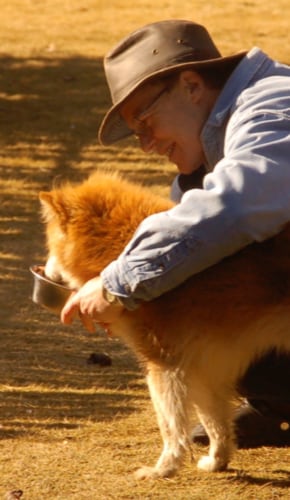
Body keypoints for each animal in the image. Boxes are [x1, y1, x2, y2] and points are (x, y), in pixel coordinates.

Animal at [38, 173, 290, 480]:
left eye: (50, 246)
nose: (44, 271)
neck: (120, 247)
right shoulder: (205, 368)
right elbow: (214, 421)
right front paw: (217, 461)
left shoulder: (164, 365)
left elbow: (170, 426)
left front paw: (164, 468)